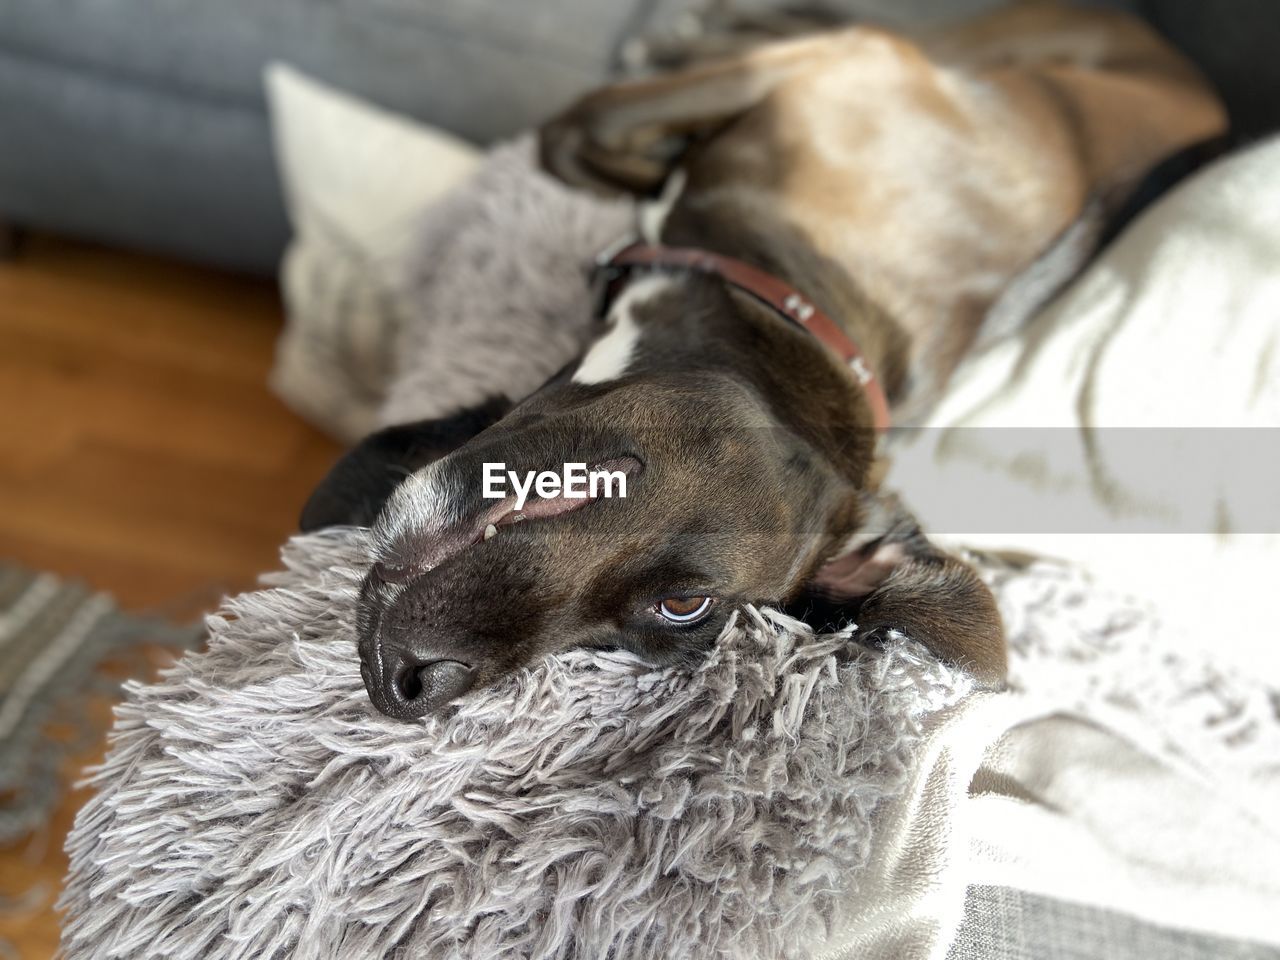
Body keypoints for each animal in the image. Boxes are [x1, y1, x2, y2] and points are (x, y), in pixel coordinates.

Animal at [299, 1, 1218, 721]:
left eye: (678, 607)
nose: (407, 684)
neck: (792, 308)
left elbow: (578, 132)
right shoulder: (836, 68)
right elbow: (576, 138)